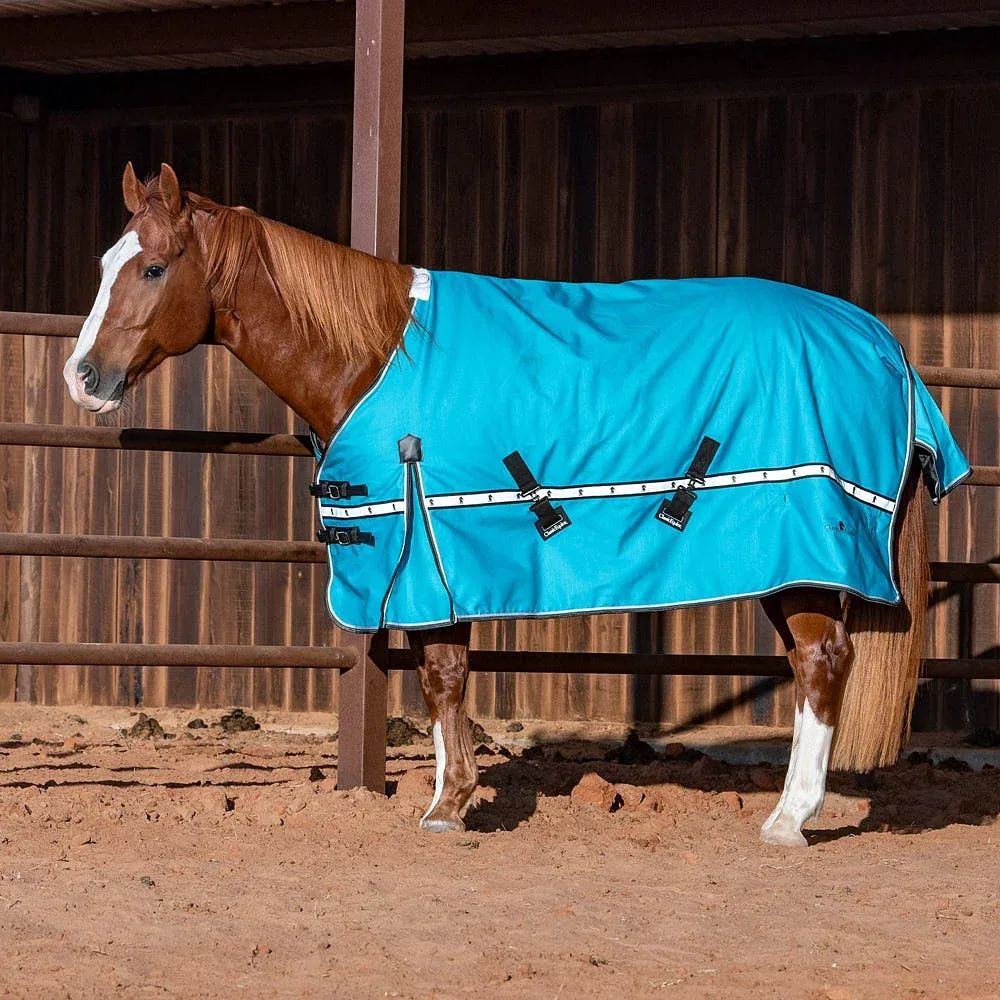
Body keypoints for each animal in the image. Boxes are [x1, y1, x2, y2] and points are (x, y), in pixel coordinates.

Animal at [63, 162, 959, 848]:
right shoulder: (431, 562)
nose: (82, 377)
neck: (380, 354)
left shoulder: (430, 553)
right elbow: (438, 681)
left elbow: (444, 678)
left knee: (821, 662)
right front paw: (447, 795)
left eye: (152, 268)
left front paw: (449, 805)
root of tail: (882, 343)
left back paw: (787, 820)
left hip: (802, 553)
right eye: (103, 263)